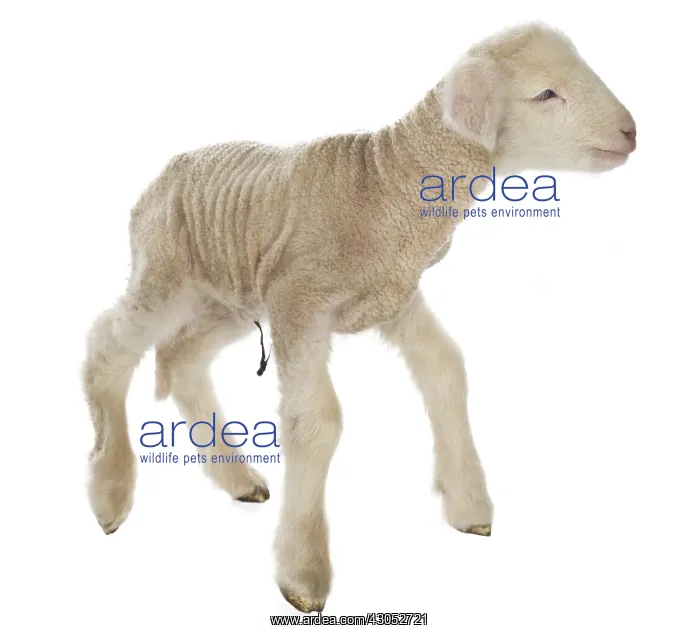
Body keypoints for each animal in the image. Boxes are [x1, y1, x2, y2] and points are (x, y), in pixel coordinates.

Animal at [82, 22, 636, 613]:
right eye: (545, 94)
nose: (631, 133)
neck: (386, 184)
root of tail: (165, 174)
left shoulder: (393, 296)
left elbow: (446, 369)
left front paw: (468, 504)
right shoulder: (300, 300)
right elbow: (316, 420)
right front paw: (304, 573)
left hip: (229, 296)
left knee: (182, 358)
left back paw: (237, 479)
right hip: (166, 274)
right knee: (107, 348)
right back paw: (110, 492)